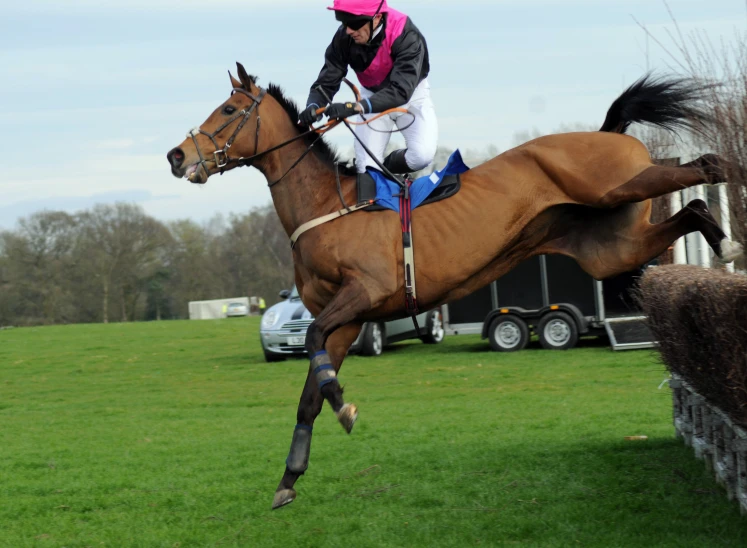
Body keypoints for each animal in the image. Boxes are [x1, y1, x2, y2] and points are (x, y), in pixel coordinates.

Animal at [167, 63, 744, 510]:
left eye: (228, 110)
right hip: (612, 247)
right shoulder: (344, 320)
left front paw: (345, 407)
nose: (176, 156)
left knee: (703, 167)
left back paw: (729, 221)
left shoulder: (361, 298)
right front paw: (289, 478)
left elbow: (309, 343)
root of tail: (606, 132)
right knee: (690, 208)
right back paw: (722, 243)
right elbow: (309, 392)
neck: (328, 207)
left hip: (619, 187)